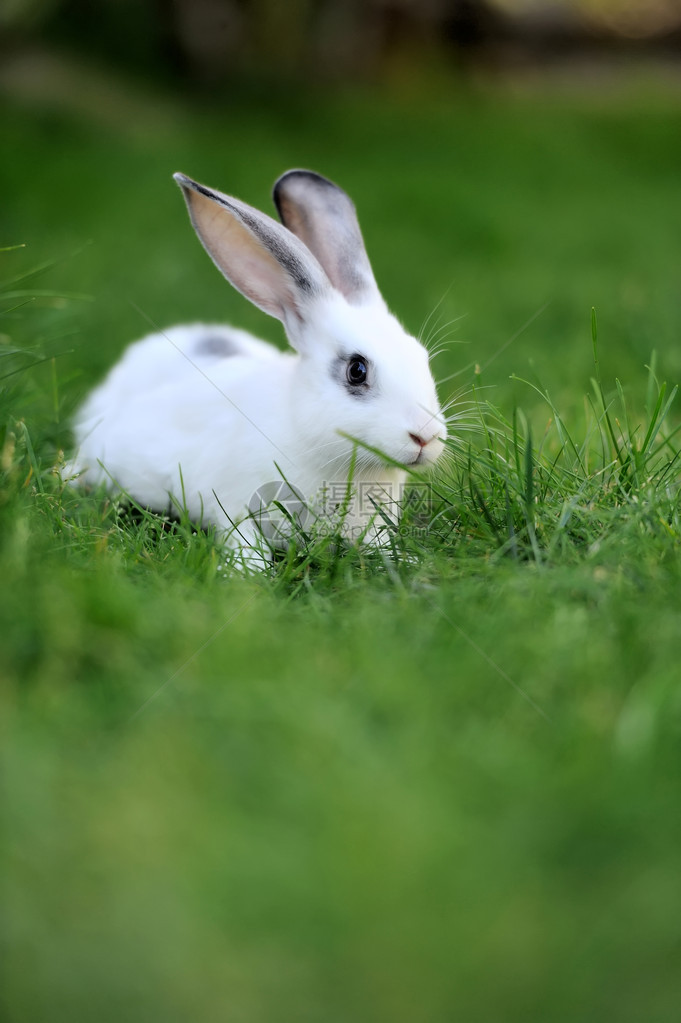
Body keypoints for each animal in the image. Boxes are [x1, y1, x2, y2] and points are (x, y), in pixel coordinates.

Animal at [70, 171, 445, 564]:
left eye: (422, 357)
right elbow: (243, 540)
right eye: (357, 370)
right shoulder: (236, 502)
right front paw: (247, 571)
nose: (427, 436)